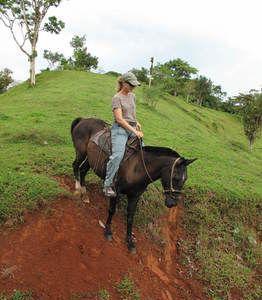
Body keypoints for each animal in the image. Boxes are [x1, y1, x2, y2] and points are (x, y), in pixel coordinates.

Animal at [70, 117, 195, 253]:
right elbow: (112, 210)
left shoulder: (135, 196)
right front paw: (108, 231)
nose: (173, 203)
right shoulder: (115, 190)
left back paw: (84, 194)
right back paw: (78, 188)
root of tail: (83, 119)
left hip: (90, 158)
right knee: (75, 166)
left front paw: (130, 241)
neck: (137, 167)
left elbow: (130, 217)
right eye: (175, 178)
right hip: (81, 153)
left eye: (185, 179)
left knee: (83, 170)